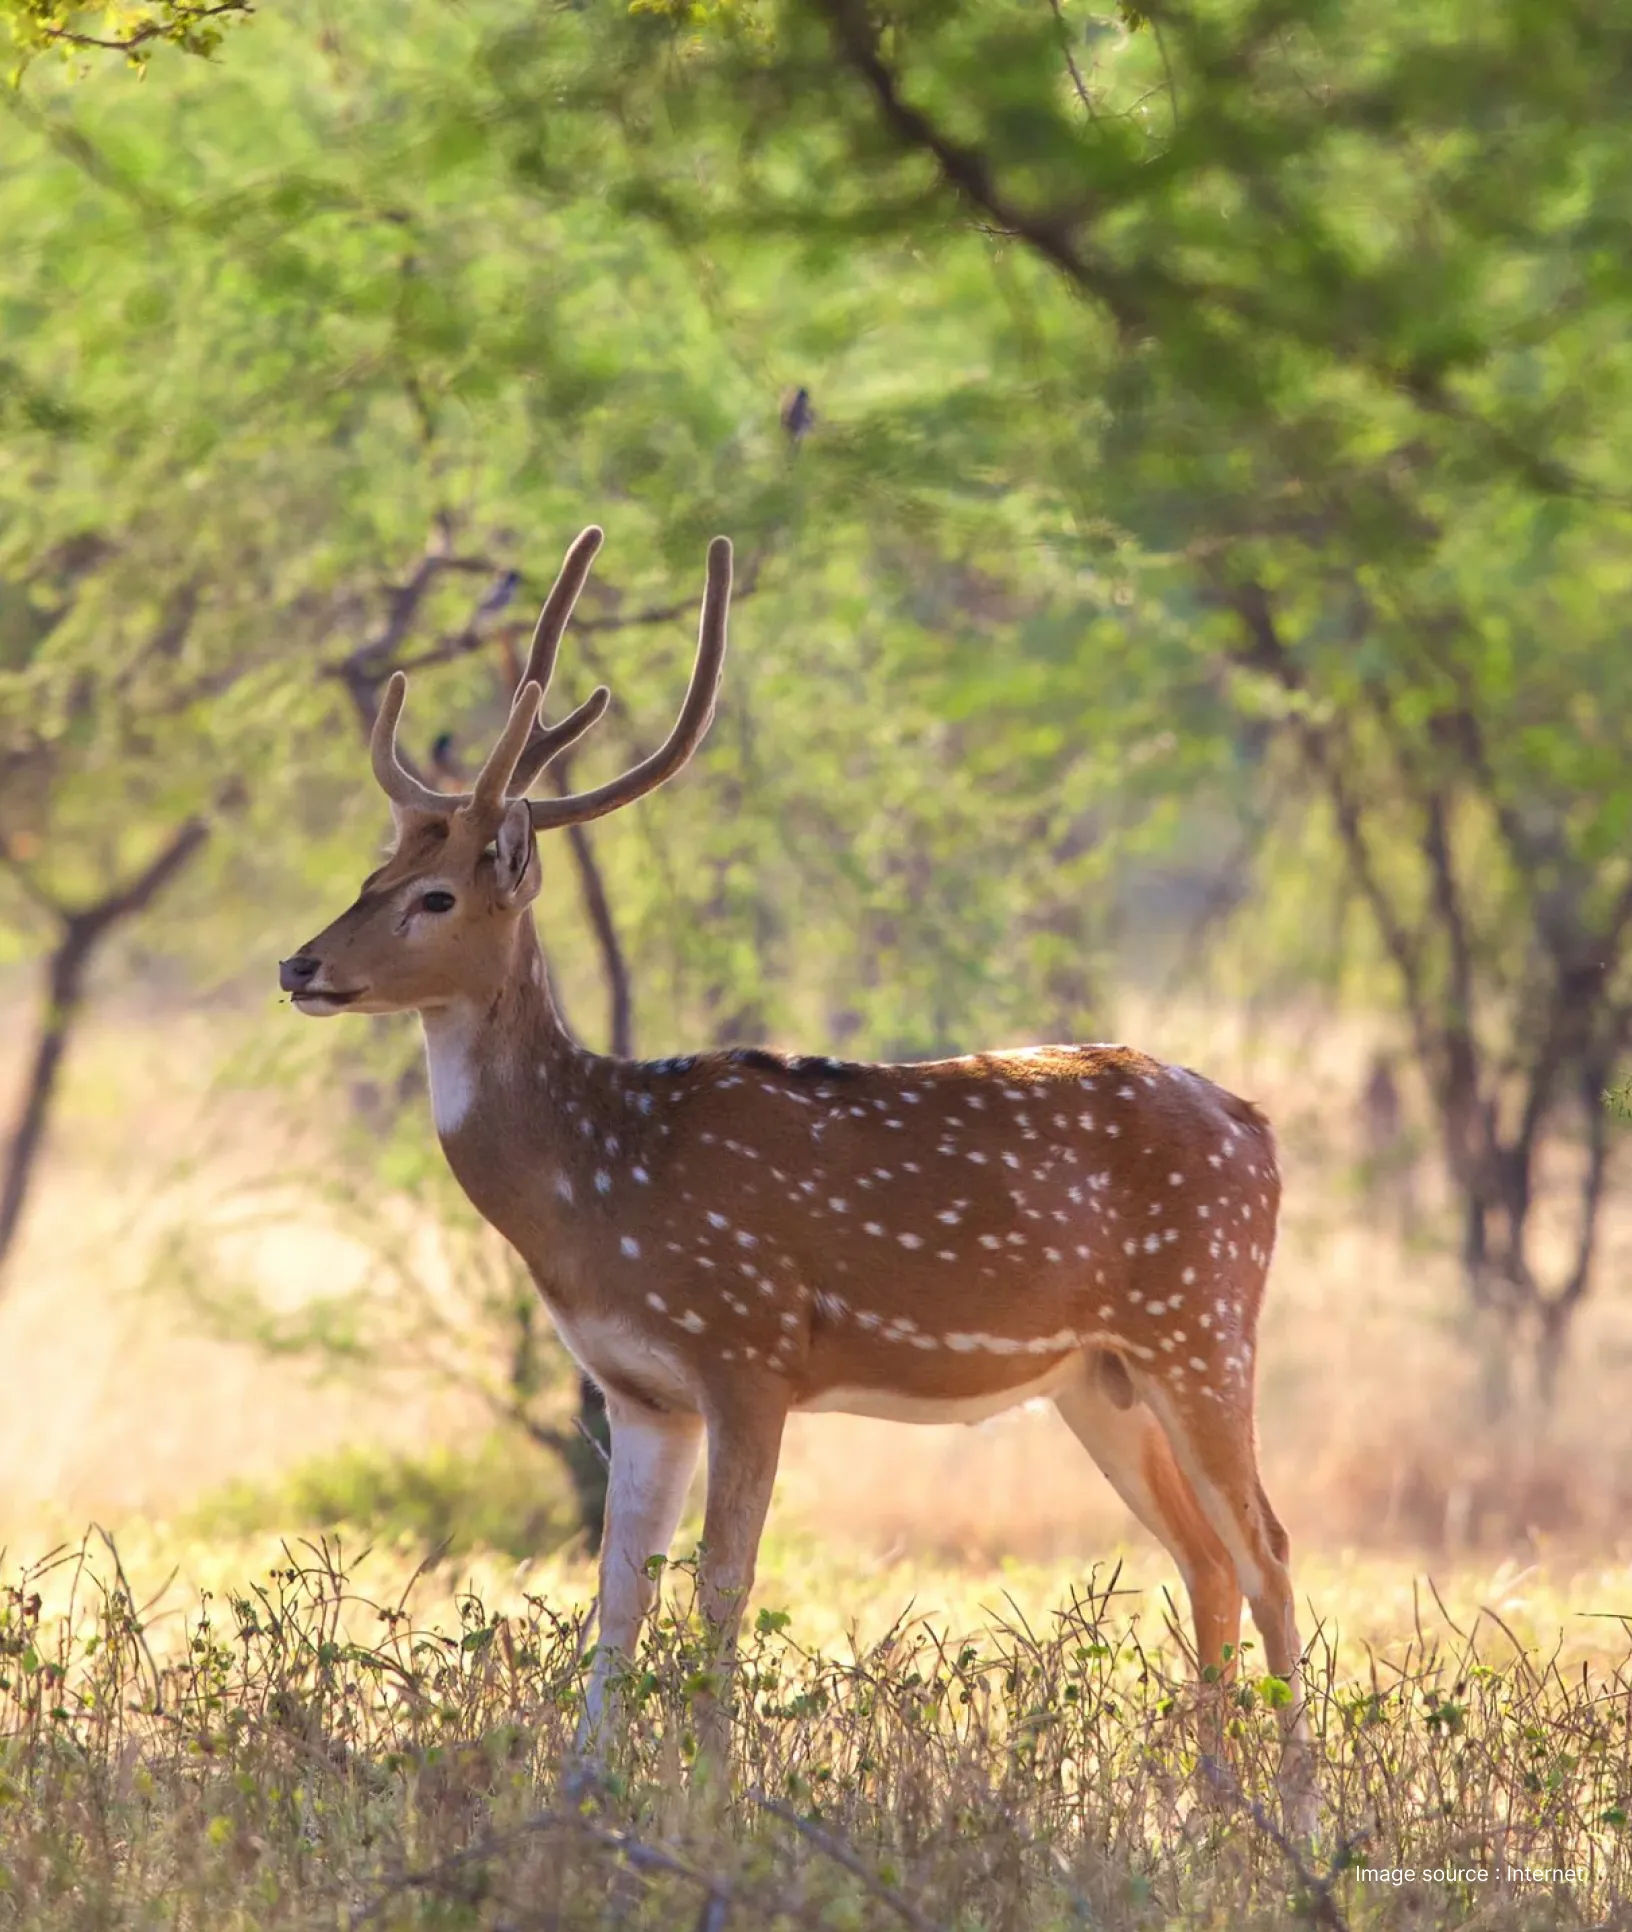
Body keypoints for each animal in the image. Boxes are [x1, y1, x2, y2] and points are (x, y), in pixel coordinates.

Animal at [278, 527, 1315, 1827]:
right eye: (370, 875)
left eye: (436, 895)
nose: (299, 965)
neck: (598, 1187)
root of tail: (1260, 1127)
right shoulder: (639, 1388)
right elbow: (617, 1595)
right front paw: (581, 1798)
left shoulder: (749, 1347)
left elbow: (724, 1582)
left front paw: (711, 1802)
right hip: (1101, 1375)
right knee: (1206, 1554)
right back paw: (1205, 1810)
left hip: (1203, 1320)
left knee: (1269, 1544)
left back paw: (1299, 1814)